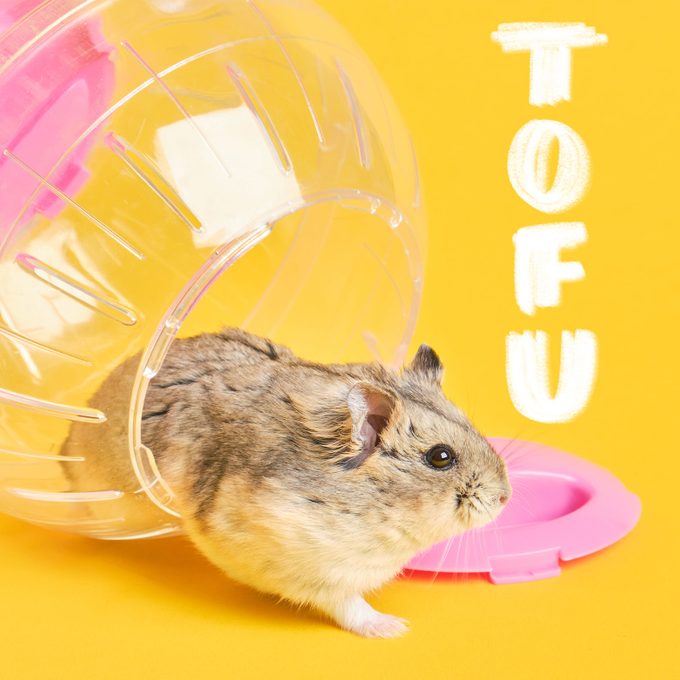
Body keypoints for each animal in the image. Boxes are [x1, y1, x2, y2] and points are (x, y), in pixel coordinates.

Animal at [62, 328, 511, 638]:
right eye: (441, 457)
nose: (506, 497)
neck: (376, 508)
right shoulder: (320, 569)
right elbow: (350, 606)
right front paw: (394, 628)